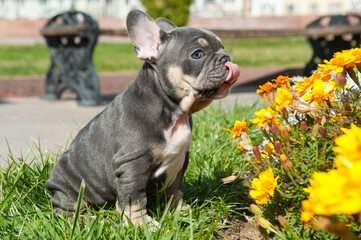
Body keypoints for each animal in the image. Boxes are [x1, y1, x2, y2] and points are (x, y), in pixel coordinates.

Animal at [45, 9, 239, 225]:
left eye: (222, 47)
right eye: (198, 54)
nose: (226, 57)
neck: (172, 111)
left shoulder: (180, 159)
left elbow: (174, 189)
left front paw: (180, 211)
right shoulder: (132, 166)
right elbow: (134, 200)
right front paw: (140, 224)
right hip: (71, 187)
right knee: (65, 209)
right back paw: (86, 220)